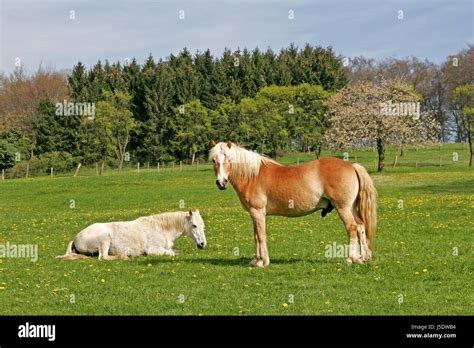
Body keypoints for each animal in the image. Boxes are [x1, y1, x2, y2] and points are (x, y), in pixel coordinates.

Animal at [57, 209, 206, 260]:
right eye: (194, 225)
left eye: (203, 226)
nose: (202, 244)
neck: (161, 229)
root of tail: (76, 237)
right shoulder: (153, 250)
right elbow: (171, 254)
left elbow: (176, 252)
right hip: (105, 239)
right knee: (103, 257)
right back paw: (124, 256)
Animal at [209, 141, 376, 270]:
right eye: (214, 160)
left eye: (229, 159)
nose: (221, 182)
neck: (252, 175)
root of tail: (352, 165)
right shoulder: (254, 214)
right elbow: (256, 236)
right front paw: (256, 261)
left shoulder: (258, 213)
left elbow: (261, 236)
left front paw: (263, 262)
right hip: (351, 208)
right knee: (360, 227)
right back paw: (363, 258)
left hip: (343, 208)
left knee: (352, 228)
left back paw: (350, 259)